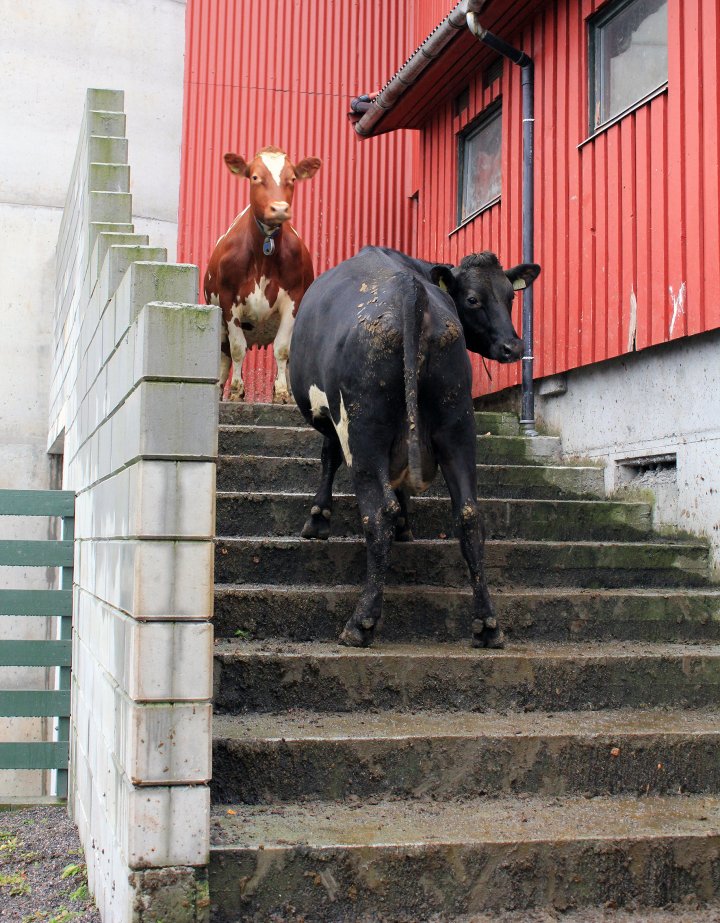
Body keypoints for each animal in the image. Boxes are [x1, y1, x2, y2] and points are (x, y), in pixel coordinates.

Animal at [204, 147, 320, 400]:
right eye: (255, 177)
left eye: (292, 178)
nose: (279, 208)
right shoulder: (228, 301)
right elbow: (237, 349)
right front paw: (236, 390)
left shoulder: (293, 300)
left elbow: (282, 349)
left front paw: (282, 392)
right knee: (225, 354)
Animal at [288, 245, 540, 648]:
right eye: (474, 298)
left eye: (509, 296)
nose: (514, 346)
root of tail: (412, 291)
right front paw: (407, 525)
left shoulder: (331, 417)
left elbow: (328, 458)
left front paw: (317, 520)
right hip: (457, 422)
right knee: (469, 515)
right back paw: (487, 624)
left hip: (363, 427)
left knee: (378, 512)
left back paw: (361, 623)